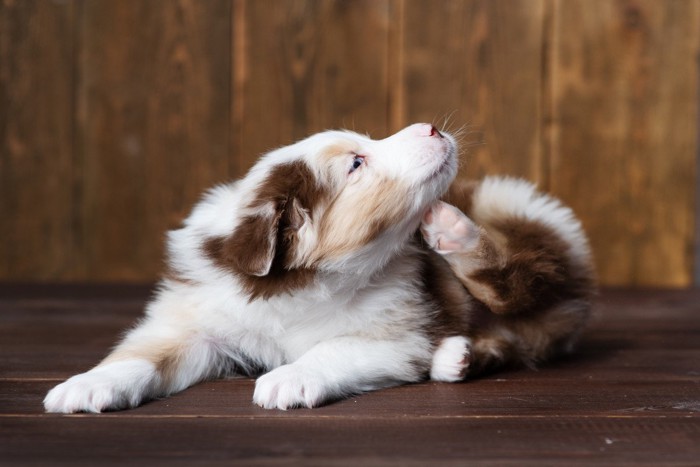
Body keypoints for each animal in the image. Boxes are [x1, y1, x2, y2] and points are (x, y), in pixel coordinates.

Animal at [42, 123, 592, 414]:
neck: (299, 287)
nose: (431, 127)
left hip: (514, 217)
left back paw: (451, 229)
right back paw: (455, 356)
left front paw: (288, 378)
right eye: (356, 163)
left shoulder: (395, 333)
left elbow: (332, 348)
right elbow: (141, 354)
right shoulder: (197, 320)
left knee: (521, 276)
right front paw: (85, 385)